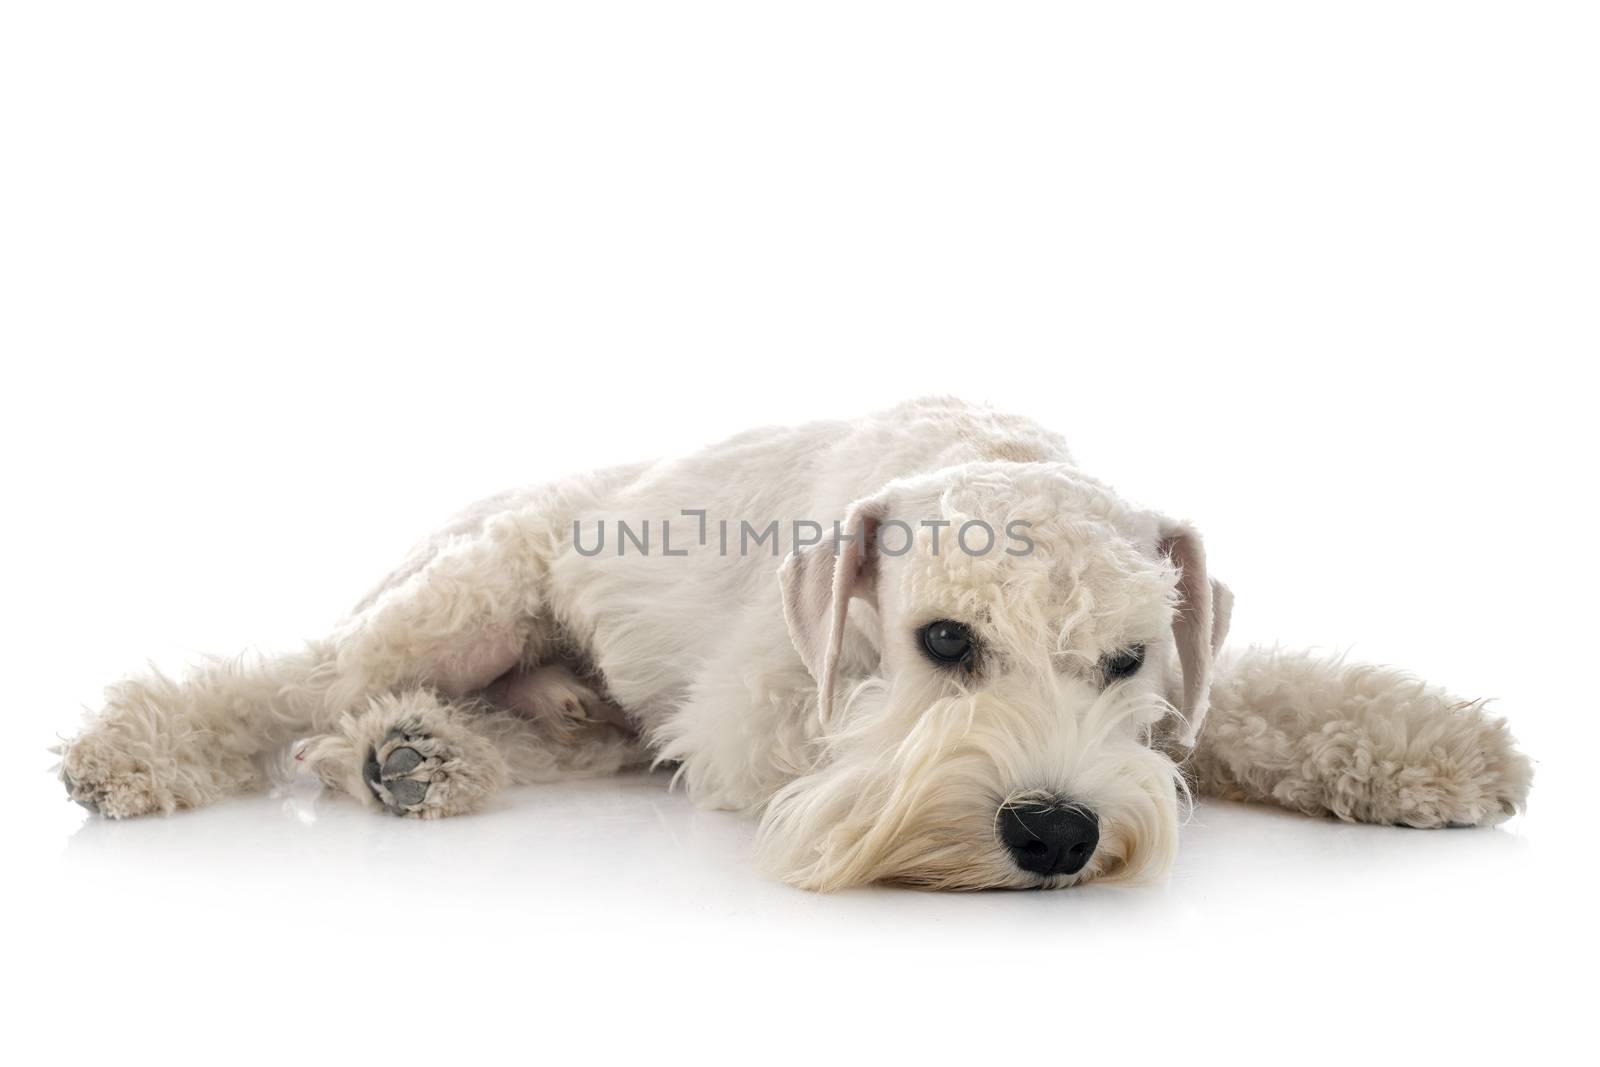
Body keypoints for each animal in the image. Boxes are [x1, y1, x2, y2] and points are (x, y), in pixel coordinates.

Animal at [56, 396, 1529, 889]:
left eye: (1124, 660)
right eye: (945, 637)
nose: (1054, 832)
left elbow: (1250, 698)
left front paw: (1446, 752)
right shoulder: (760, 713)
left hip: (570, 708)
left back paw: (418, 756)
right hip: (470, 595)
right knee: (298, 687)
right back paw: (144, 746)